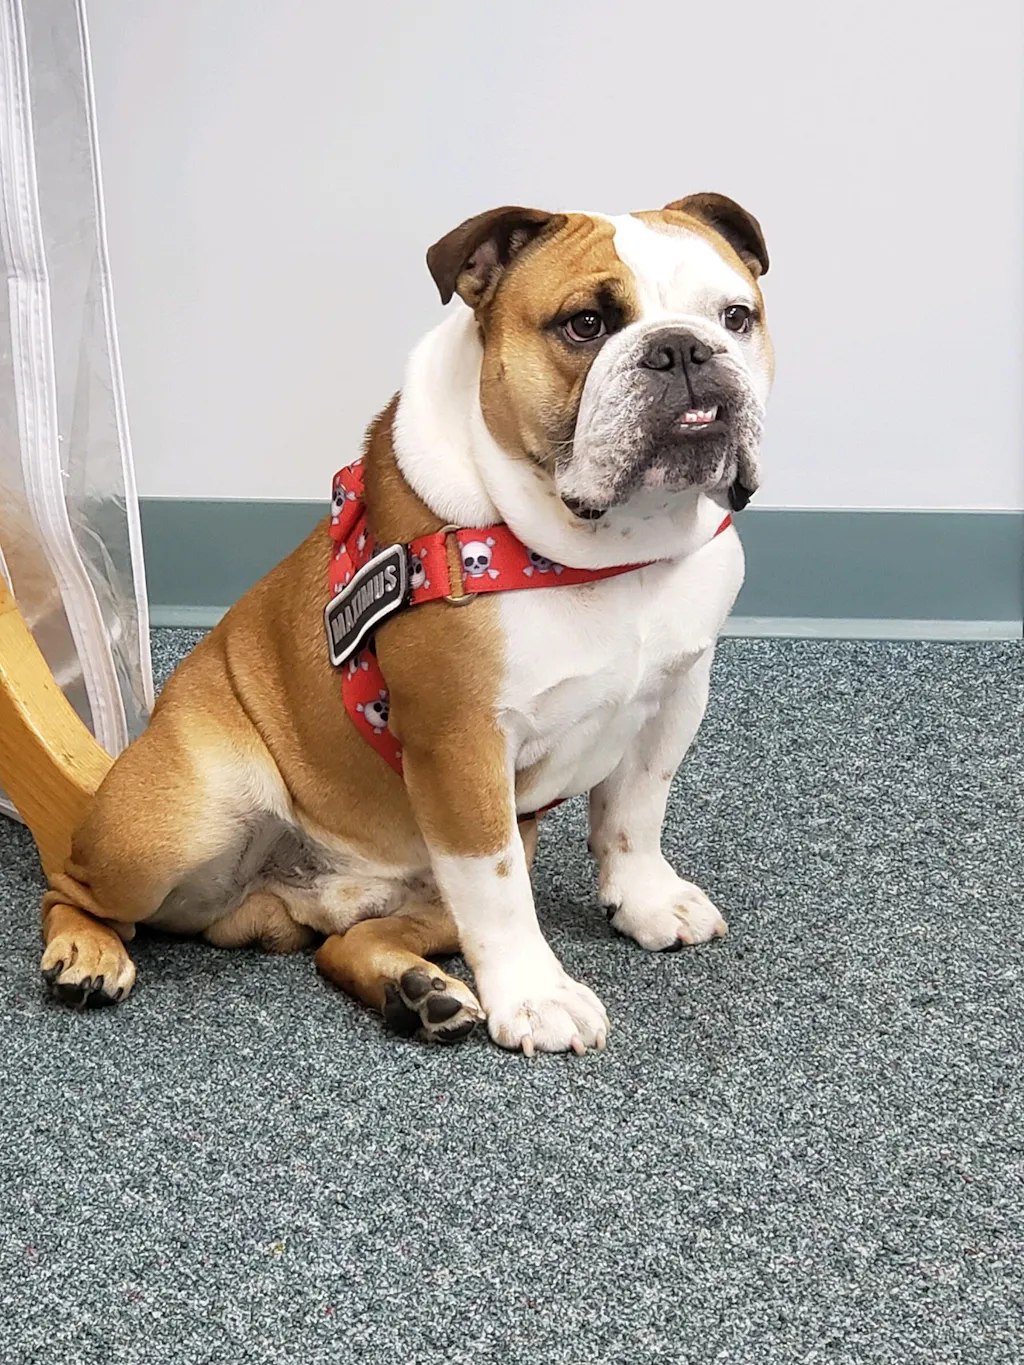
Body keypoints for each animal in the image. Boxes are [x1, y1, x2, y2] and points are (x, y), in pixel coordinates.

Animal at [39, 193, 773, 1053]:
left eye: (735, 316)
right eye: (585, 324)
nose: (683, 349)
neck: (612, 550)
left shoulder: (674, 696)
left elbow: (634, 811)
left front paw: (646, 898)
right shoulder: (461, 747)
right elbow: (498, 891)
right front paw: (538, 995)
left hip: (434, 880)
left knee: (352, 942)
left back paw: (418, 991)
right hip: (170, 827)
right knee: (71, 884)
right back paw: (85, 951)